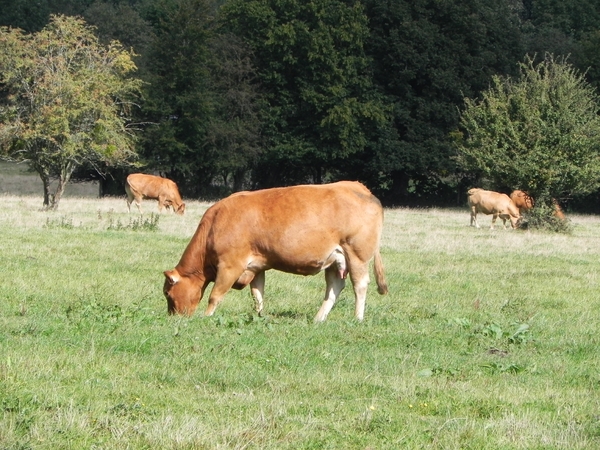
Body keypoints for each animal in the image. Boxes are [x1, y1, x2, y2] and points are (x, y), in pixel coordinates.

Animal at [163, 181, 390, 322]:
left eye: (167, 293)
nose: (173, 317)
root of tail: (358, 186)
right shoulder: (256, 267)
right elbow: (257, 294)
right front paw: (259, 316)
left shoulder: (230, 265)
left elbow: (215, 294)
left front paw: (207, 316)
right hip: (336, 259)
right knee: (334, 287)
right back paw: (319, 318)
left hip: (357, 255)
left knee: (360, 285)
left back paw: (357, 318)